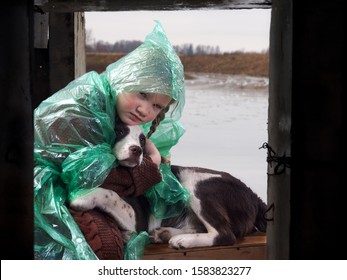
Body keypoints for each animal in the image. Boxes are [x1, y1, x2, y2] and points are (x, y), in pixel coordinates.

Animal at [69, 121, 268, 248]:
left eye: (142, 139)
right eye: (119, 132)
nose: (137, 150)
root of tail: (254, 197)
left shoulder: (138, 220)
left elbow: (110, 194)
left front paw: (83, 196)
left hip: (194, 184)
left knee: (224, 234)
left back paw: (183, 240)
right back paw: (165, 234)